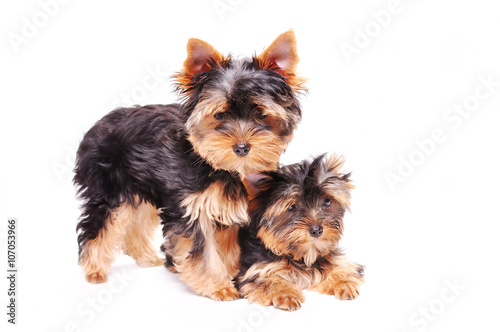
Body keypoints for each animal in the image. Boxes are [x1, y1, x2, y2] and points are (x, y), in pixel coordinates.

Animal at [74, 31, 304, 300]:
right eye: (219, 115)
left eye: (261, 114)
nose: (241, 147)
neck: (220, 166)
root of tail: (98, 123)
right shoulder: (192, 208)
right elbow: (203, 251)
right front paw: (219, 286)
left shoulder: (229, 209)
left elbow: (228, 247)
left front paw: (233, 274)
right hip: (110, 187)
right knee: (100, 223)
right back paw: (94, 269)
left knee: (137, 219)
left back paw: (145, 257)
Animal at [237, 154, 364, 310]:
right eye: (292, 207)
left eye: (327, 201)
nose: (317, 230)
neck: (303, 254)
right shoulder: (254, 270)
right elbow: (268, 279)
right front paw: (286, 294)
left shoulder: (335, 258)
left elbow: (342, 267)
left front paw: (344, 283)